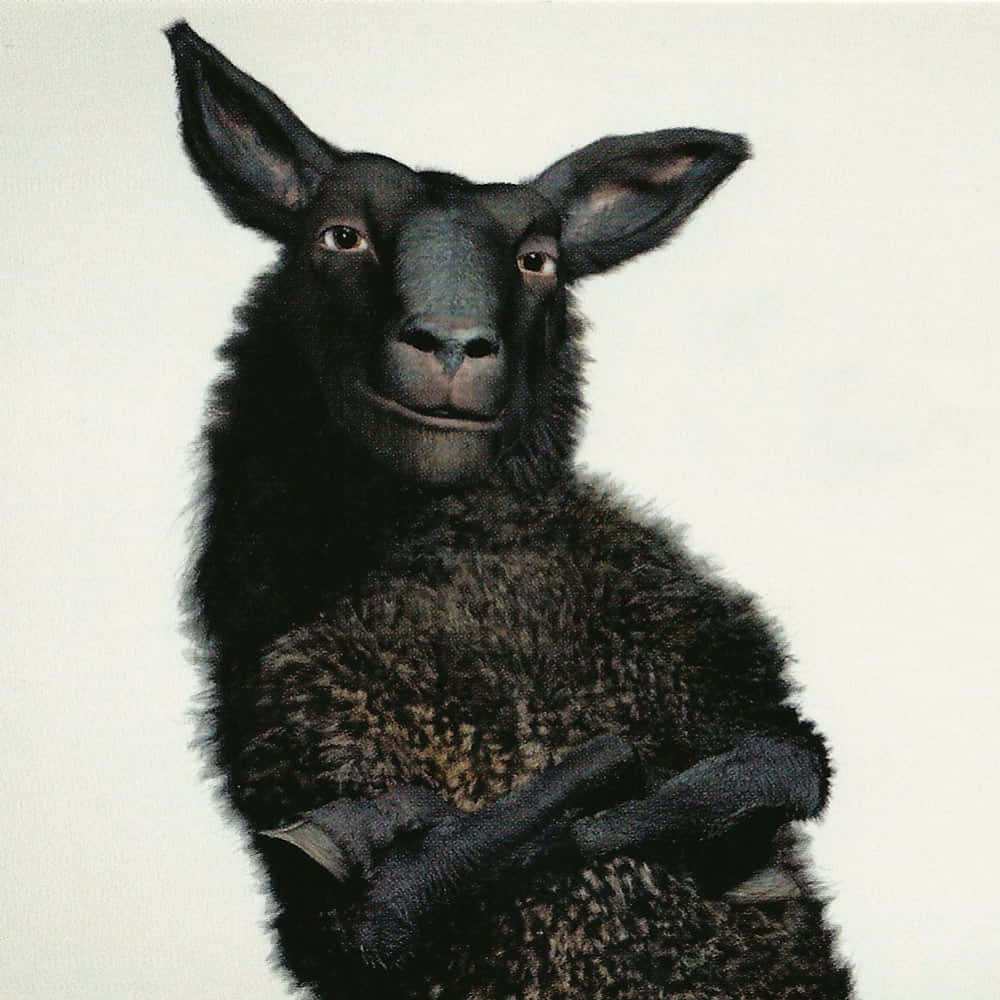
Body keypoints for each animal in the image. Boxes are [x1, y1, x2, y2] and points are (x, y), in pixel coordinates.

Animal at [168, 20, 854, 1000]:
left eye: (538, 260)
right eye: (339, 236)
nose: (454, 344)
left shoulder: (720, 658)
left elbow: (783, 762)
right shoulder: (298, 759)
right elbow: (393, 901)